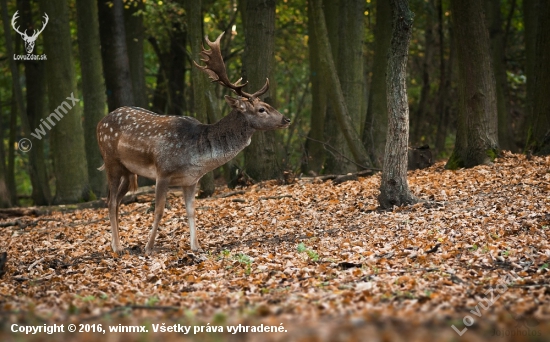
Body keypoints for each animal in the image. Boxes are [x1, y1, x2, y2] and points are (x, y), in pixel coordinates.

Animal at [97, 32, 292, 255]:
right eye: (261, 109)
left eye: (268, 104)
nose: (286, 119)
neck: (197, 157)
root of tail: (100, 123)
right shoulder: (163, 171)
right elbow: (159, 210)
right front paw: (148, 247)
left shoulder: (190, 180)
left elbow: (191, 211)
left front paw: (196, 246)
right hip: (111, 161)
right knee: (111, 200)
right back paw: (118, 247)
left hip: (128, 171)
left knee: (116, 200)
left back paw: (117, 244)